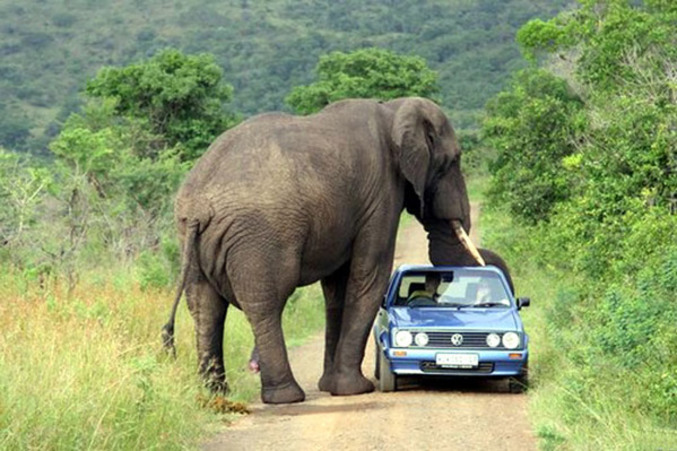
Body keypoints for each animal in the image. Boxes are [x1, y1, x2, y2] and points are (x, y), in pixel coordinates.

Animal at [160, 97, 484, 404]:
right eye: (453, 161)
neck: (393, 109)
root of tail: (199, 206)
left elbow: (337, 289)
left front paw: (331, 386)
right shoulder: (381, 196)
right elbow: (369, 276)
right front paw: (354, 390)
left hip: (190, 238)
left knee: (205, 308)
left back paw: (216, 395)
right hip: (260, 236)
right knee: (266, 303)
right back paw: (286, 397)